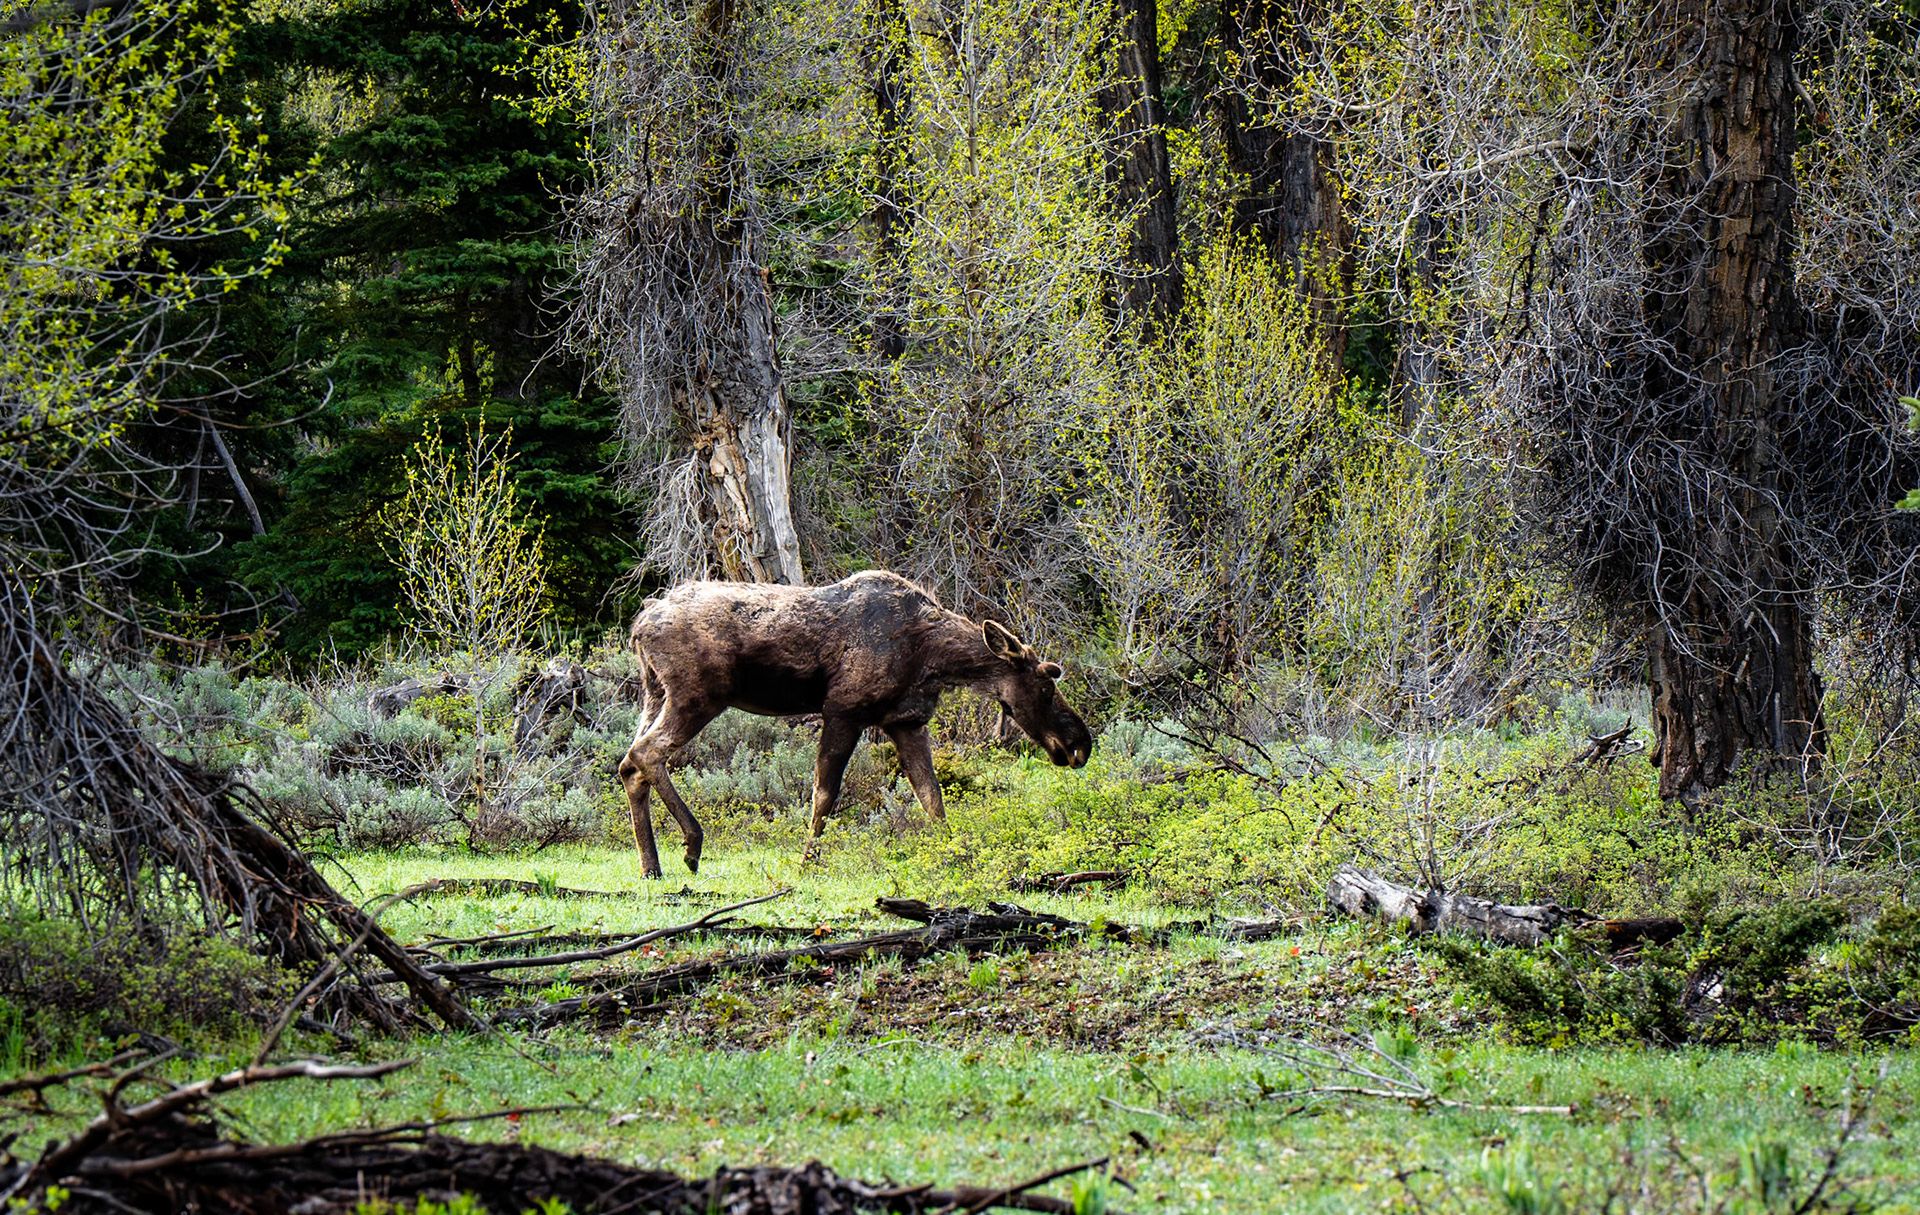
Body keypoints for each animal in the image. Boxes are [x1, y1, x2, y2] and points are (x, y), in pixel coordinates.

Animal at [616, 570, 1093, 878]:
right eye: (1045, 684)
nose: (1079, 744)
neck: (933, 658)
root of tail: (640, 623)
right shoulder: (843, 710)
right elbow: (824, 795)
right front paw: (808, 862)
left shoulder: (906, 722)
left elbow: (932, 798)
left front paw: (954, 854)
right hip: (698, 695)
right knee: (646, 753)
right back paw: (692, 844)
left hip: (655, 691)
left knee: (628, 765)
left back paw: (650, 867)